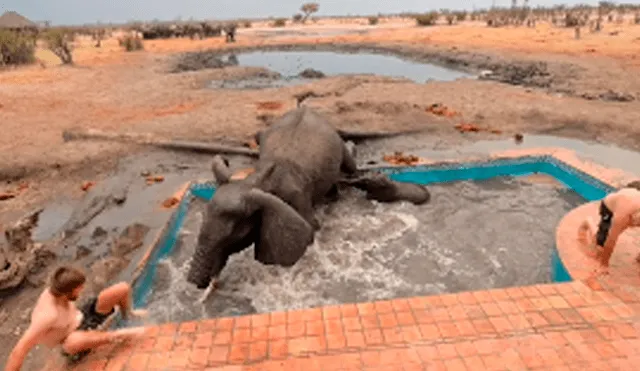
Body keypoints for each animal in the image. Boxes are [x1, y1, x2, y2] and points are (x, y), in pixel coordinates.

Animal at [185, 106, 432, 290]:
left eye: (233, 234)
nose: (199, 286)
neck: (256, 180)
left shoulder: (297, 197)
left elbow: (311, 228)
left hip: (337, 141)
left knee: (350, 165)